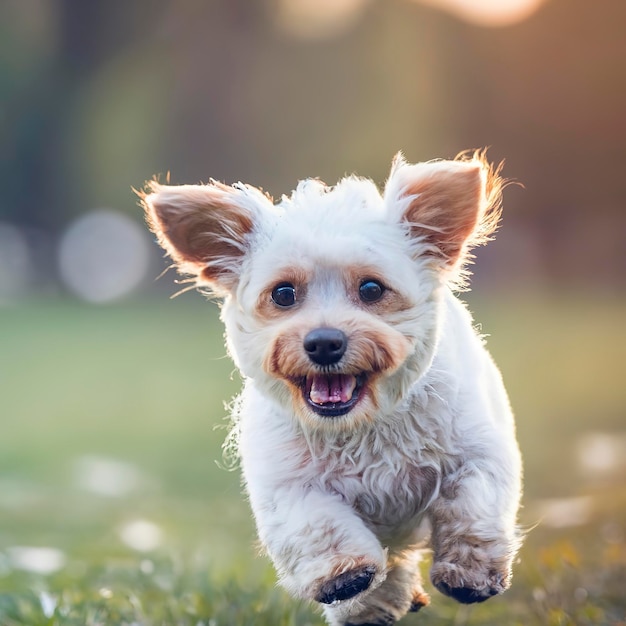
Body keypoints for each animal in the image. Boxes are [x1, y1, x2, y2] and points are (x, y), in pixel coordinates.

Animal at [141, 151, 520, 624]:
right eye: (283, 293)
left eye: (372, 288)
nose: (324, 342)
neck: (364, 425)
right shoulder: (289, 485)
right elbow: (322, 526)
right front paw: (348, 579)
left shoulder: (477, 450)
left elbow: (471, 504)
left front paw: (470, 573)